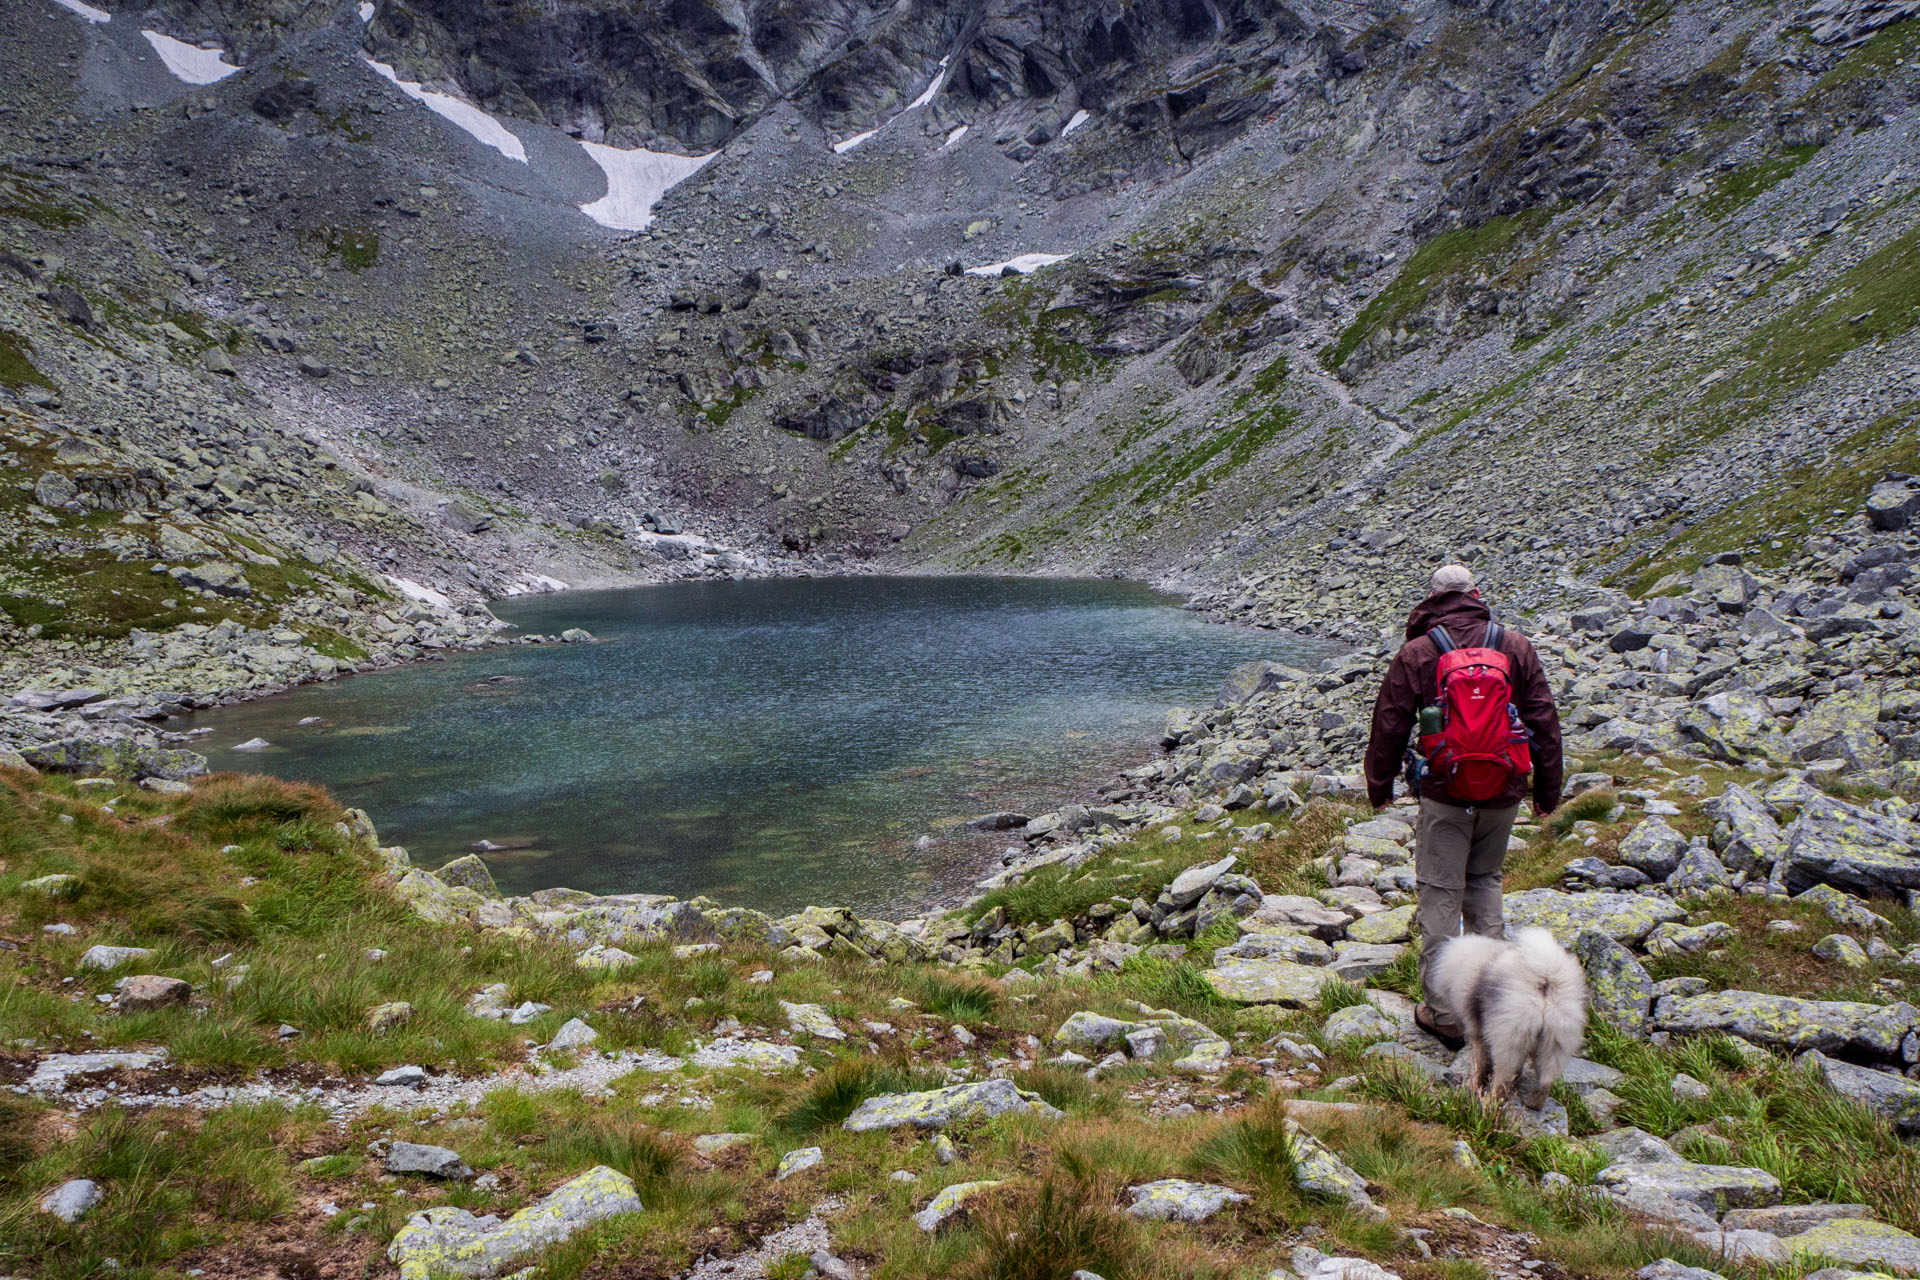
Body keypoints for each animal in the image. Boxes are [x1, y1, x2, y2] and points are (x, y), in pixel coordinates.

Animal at [1428, 924, 1589, 1105]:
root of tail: (1544, 982)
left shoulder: (1476, 1032)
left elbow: (1479, 1061)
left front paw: (1474, 1084)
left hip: (1508, 1039)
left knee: (1502, 1077)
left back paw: (1490, 1101)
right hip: (1554, 1042)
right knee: (1545, 1080)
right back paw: (1533, 1103)